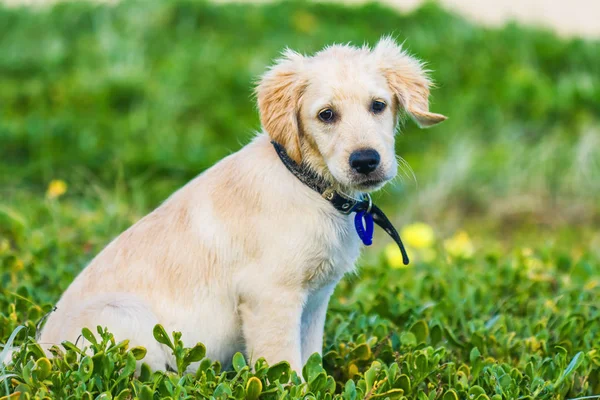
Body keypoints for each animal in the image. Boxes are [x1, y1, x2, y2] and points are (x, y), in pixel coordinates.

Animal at [36, 36, 446, 372]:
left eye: (378, 105)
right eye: (326, 115)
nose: (366, 161)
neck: (310, 184)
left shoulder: (314, 302)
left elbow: (310, 358)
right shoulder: (271, 297)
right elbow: (285, 369)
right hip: (127, 319)